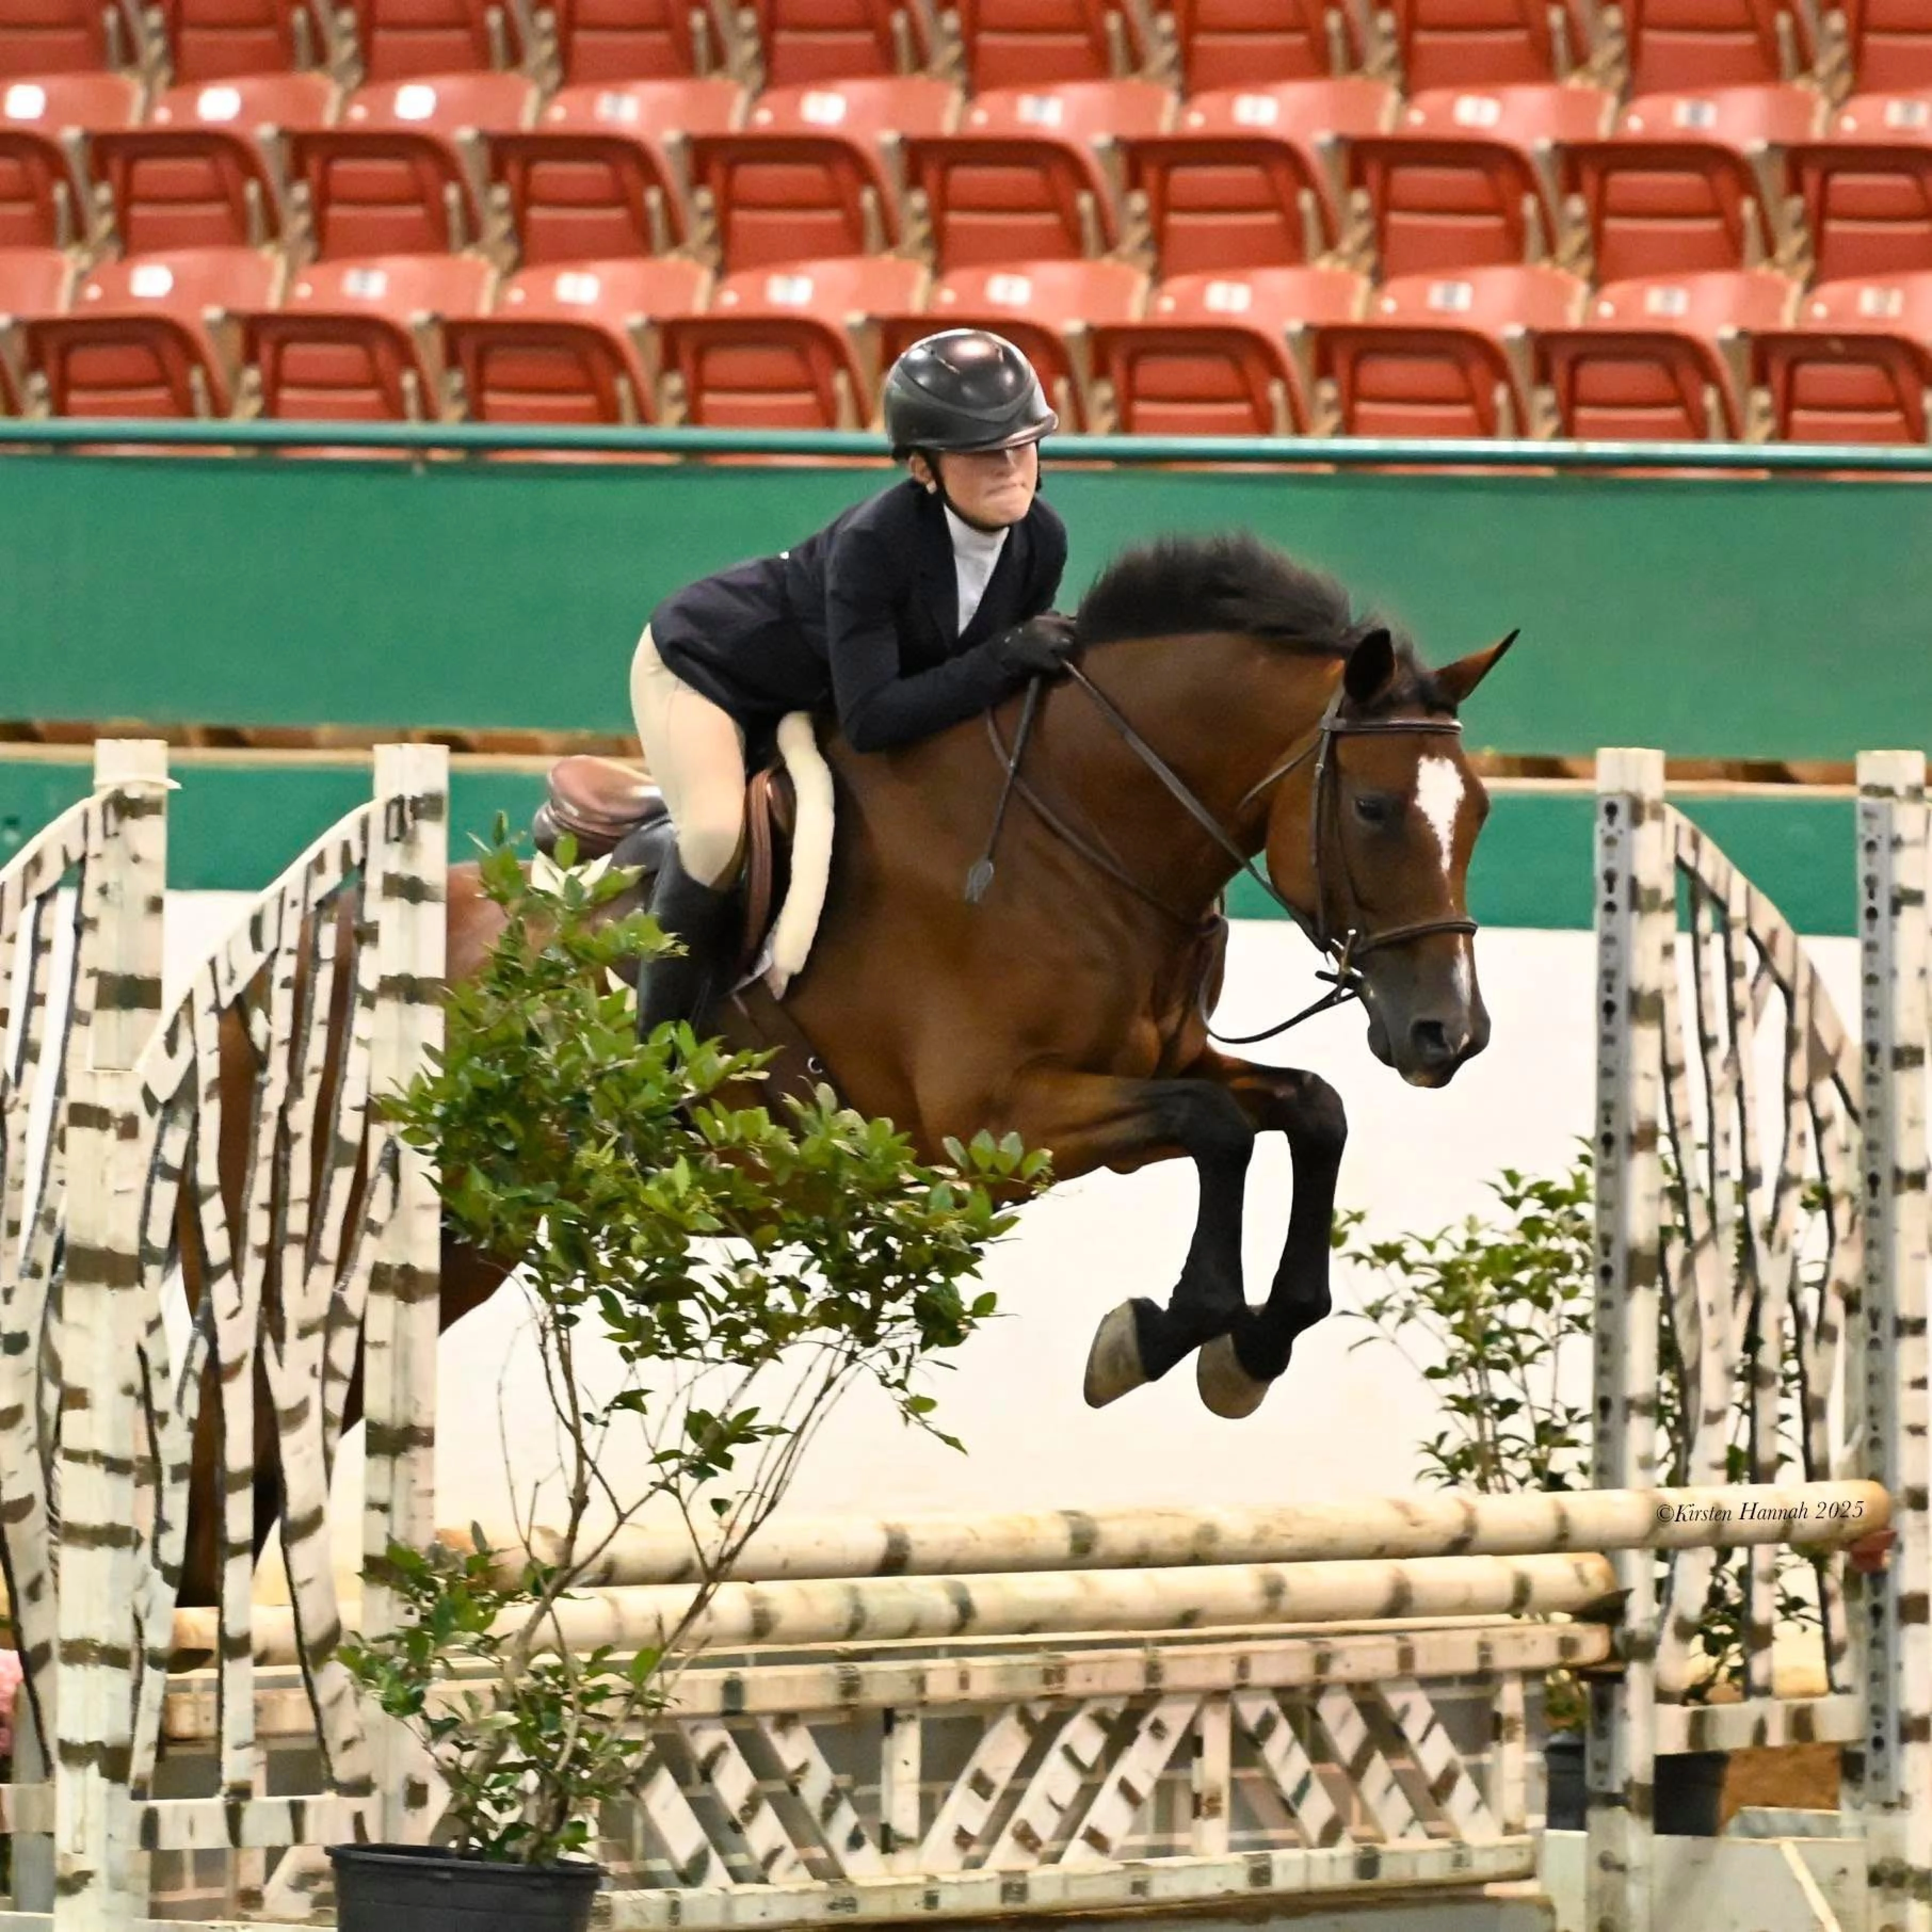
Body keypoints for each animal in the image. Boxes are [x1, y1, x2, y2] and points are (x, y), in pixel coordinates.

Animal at [190, 530, 1514, 1603]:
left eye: (1483, 814)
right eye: (1377, 811)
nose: (1447, 1037)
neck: (1087, 828)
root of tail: (283, 956)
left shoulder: (1154, 1068)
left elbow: (1308, 1112)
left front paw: (1253, 1347)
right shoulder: (1005, 1123)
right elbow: (1221, 1130)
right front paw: (1156, 1338)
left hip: (469, 1232)